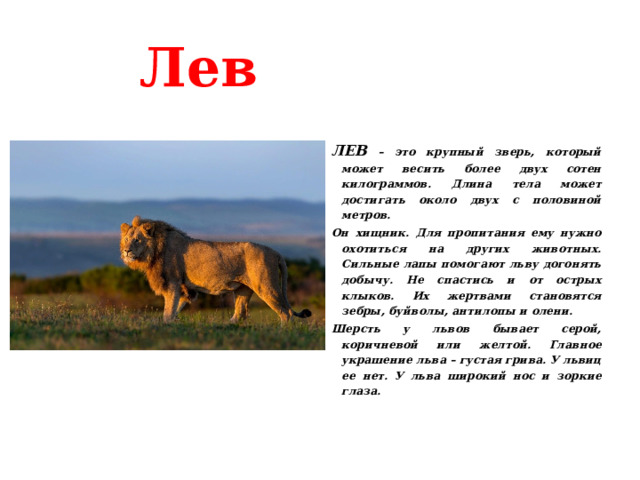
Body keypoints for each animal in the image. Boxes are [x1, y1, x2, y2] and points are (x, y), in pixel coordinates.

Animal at [120, 215, 312, 323]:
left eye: (137, 240)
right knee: (239, 315)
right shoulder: (184, 288)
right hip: (243, 290)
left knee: (286, 313)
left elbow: (168, 310)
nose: (126, 251)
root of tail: (276, 252)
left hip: (266, 286)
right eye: (127, 239)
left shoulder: (172, 282)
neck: (154, 251)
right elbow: (175, 309)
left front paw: (166, 324)